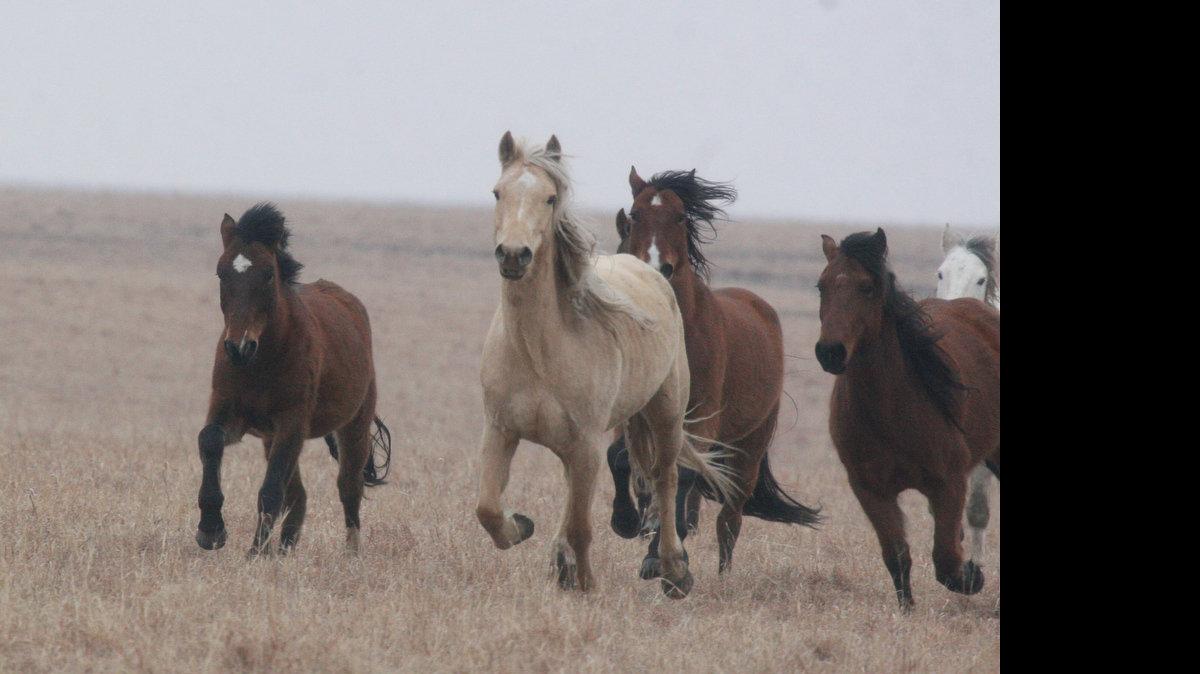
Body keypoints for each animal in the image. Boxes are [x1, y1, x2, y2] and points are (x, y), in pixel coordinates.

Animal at [195, 203, 392, 556]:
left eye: (268, 274)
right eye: (221, 273)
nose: (238, 347)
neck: (261, 362)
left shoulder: (291, 422)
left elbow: (271, 488)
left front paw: (256, 553)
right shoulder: (229, 410)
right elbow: (210, 439)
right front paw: (211, 529)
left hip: (353, 424)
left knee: (348, 487)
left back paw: (351, 553)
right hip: (271, 436)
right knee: (299, 495)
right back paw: (285, 548)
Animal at [475, 132, 736, 598]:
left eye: (550, 197)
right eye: (497, 192)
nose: (514, 255)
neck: (537, 350)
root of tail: (651, 271)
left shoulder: (587, 443)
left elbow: (583, 526)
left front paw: (586, 583)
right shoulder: (501, 430)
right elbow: (487, 509)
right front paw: (522, 527)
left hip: (666, 413)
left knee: (667, 479)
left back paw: (674, 571)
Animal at [605, 168, 820, 579]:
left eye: (679, 217)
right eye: (636, 215)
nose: (656, 268)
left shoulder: (701, 417)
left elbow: (682, 478)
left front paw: (662, 559)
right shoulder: (635, 415)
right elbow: (621, 459)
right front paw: (626, 522)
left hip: (747, 449)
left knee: (729, 519)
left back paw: (721, 575)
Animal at [815, 228, 999, 611]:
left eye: (868, 286)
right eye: (821, 285)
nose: (830, 352)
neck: (891, 406)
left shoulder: (948, 484)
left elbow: (946, 561)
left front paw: (972, 575)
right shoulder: (871, 489)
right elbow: (897, 555)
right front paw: (907, 611)